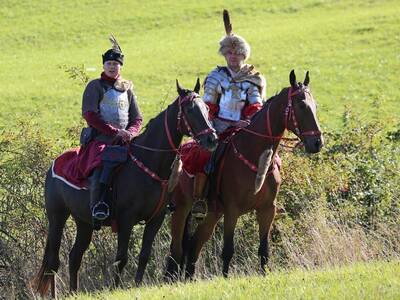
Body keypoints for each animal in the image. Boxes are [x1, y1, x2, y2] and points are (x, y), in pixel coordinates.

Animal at [32, 80, 217, 298]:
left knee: (74, 257)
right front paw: (115, 288)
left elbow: (144, 255)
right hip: (57, 217)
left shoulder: (155, 219)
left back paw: (73, 292)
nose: (212, 139)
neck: (149, 163)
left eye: (206, 108)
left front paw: (137, 285)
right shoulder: (126, 219)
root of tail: (54, 164)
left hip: (84, 222)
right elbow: (122, 257)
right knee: (53, 262)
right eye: (189, 109)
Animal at [164, 71, 324, 282]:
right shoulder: (232, 210)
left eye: (315, 106)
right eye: (302, 106)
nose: (317, 143)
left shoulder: (267, 210)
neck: (254, 155)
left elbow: (264, 250)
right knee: (176, 249)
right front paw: (225, 279)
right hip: (181, 210)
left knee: (194, 244)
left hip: (213, 213)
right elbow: (227, 250)